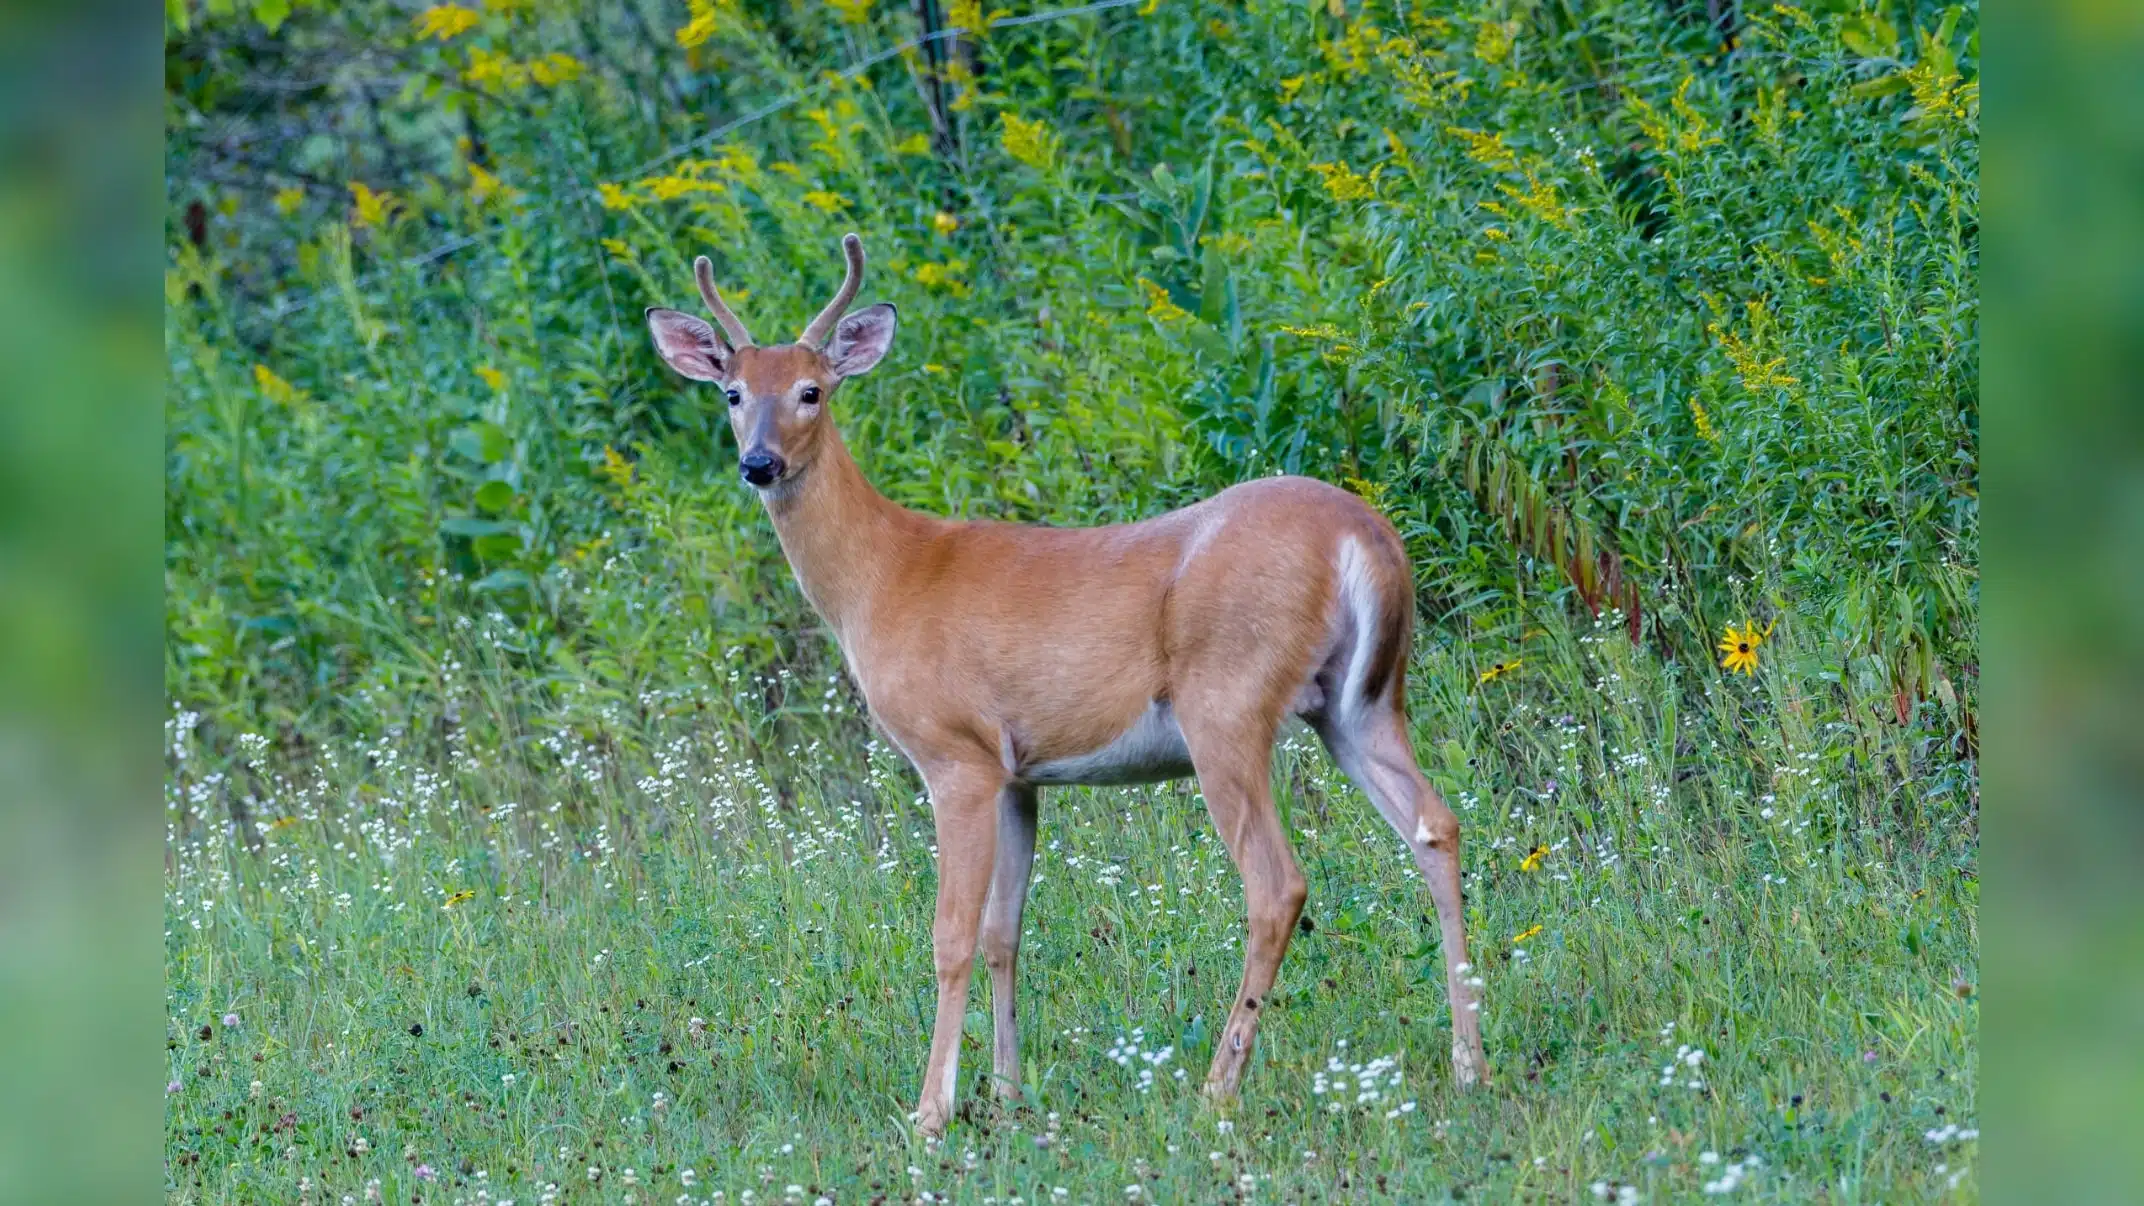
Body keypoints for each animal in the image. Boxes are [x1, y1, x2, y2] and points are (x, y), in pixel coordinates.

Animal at [645, 233, 1489, 1136]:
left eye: (811, 390)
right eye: (733, 392)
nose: (759, 463)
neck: (883, 576)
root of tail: (1364, 537)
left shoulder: (958, 756)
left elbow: (950, 936)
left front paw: (931, 1112)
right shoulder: (1020, 774)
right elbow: (1003, 933)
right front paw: (1008, 1093)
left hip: (1226, 701)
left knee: (1277, 882)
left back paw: (1216, 1087)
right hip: (1360, 703)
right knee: (1434, 826)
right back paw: (1468, 1061)